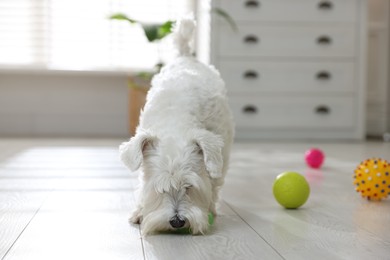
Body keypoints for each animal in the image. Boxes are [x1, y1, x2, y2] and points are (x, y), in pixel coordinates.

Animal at [120, 17, 233, 234]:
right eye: (160, 189)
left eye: (189, 187)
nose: (177, 221)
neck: (175, 125)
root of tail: (187, 56)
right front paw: (139, 211)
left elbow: (212, 182)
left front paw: (208, 210)